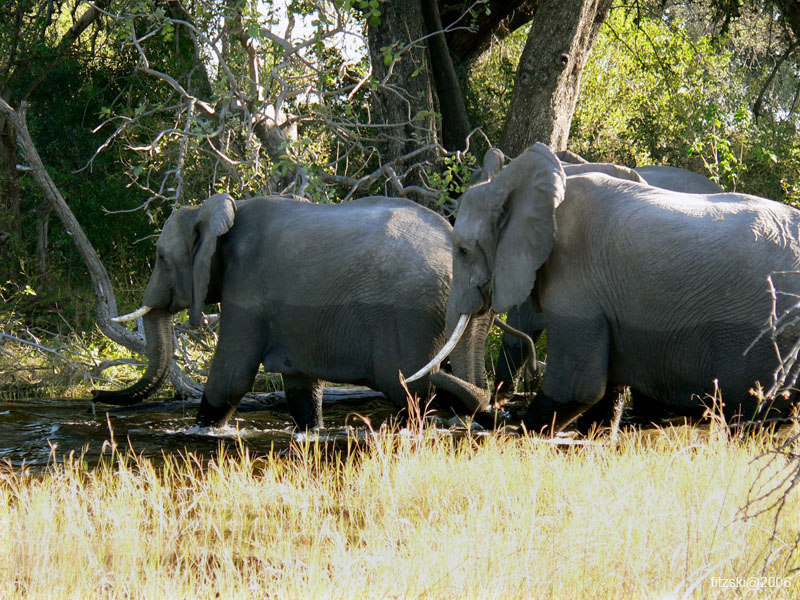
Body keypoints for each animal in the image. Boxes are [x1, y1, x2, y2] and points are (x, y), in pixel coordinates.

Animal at [95, 192, 494, 426]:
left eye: (161, 257)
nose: (97, 396)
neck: (217, 210)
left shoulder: (245, 293)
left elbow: (231, 377)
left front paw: (199, 432)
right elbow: (301, 386)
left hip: (410, 317)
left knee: (411, 388)